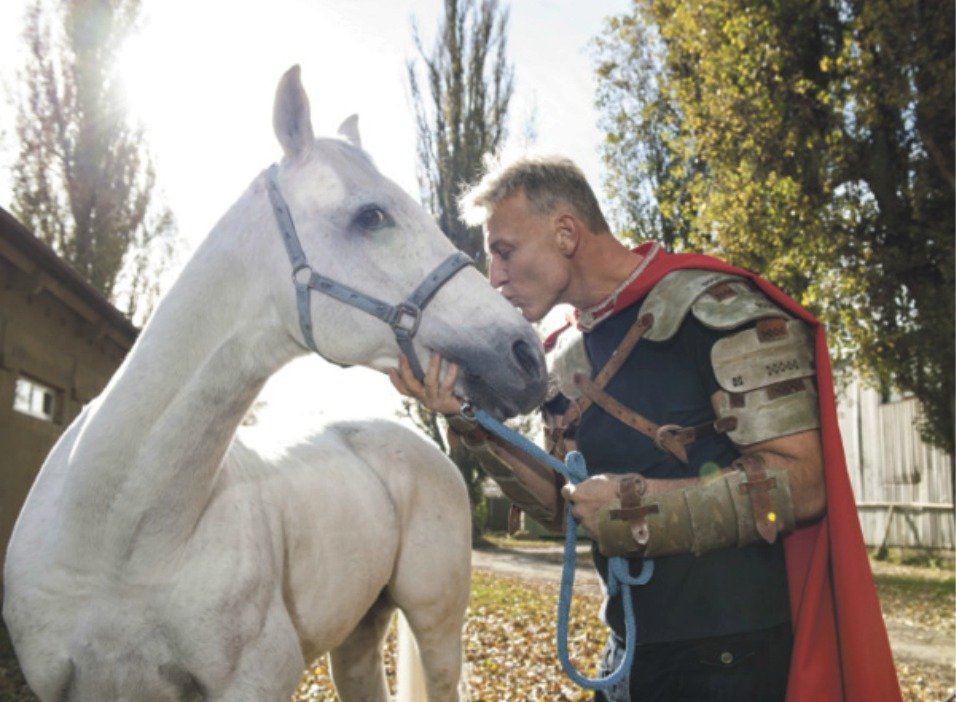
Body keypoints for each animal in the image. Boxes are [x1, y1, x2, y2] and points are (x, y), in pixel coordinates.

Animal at [1, 67, 544, 702]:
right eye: (371, 216)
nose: (528, 355)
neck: (119, 542)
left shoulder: (257, 679)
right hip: (358, 634)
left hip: (436, 625)